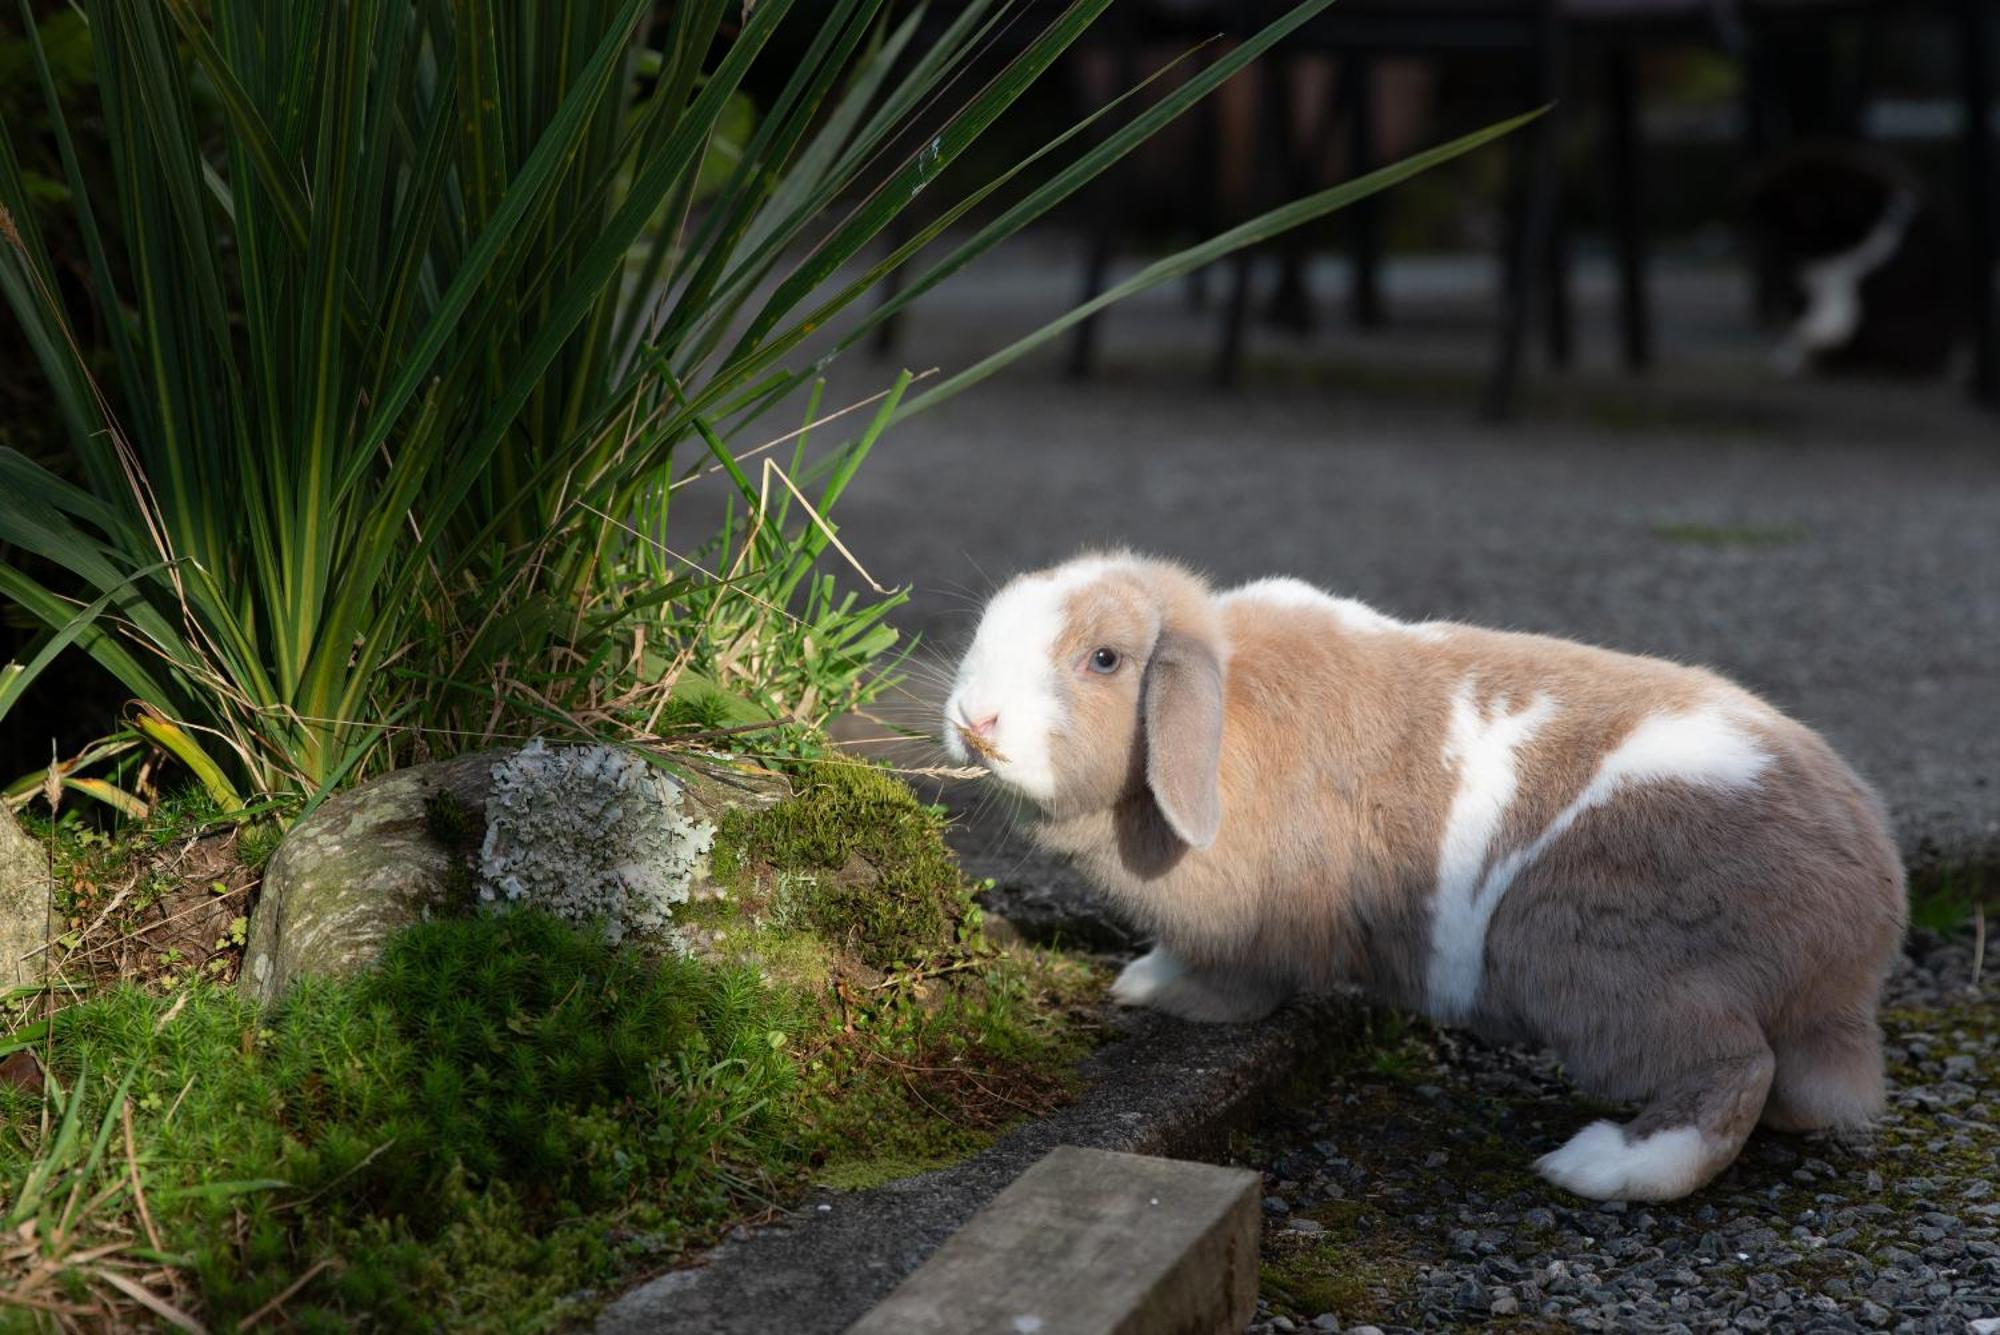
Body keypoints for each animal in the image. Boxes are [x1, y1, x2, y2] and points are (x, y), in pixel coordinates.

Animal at [940, 551, 1904, 1199]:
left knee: (1730, 1073)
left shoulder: (1256, 932)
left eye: (1103, 659)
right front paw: (1145, 980)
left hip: (1617, 972)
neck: (1224, 716)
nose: (974, 719)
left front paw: (1180, 1001)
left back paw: (1601, 1166)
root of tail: (1863, 934)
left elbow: (1240, 982)